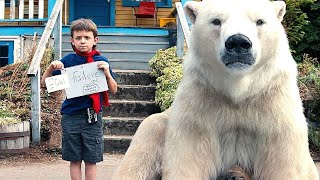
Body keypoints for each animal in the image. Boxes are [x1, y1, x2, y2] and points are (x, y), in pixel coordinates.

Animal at [112, 0, 318, 179]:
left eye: (259, 21)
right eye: (216, 21)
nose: (238, 42)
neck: (238, 89)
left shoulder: (272, 98)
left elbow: (283, 160)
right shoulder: (201, 98)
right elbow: (189, 156)